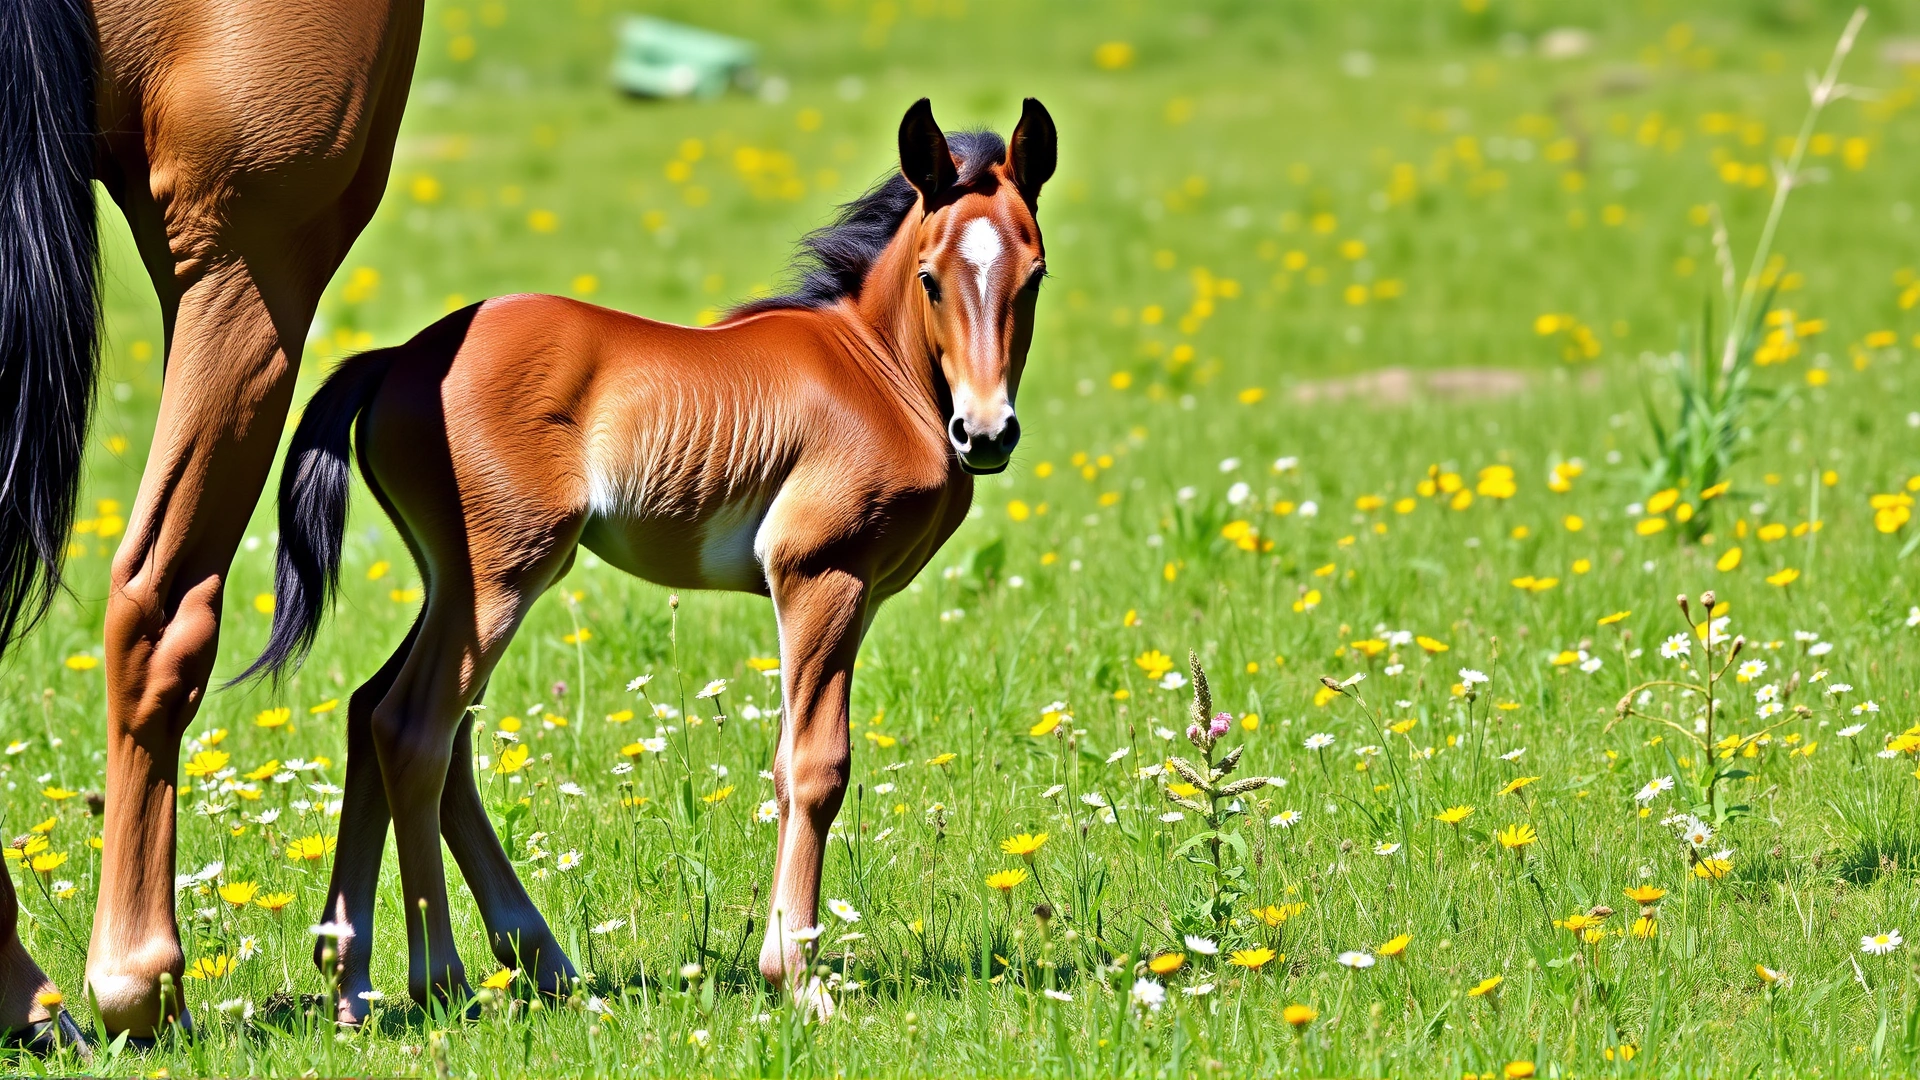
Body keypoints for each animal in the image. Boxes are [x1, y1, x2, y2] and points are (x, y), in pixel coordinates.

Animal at [243, 97, 1055, 1020]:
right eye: (929, 277)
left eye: (1033, 276)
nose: (986, 433)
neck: (877, 372)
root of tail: (396, 360)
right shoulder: (819, 576)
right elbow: (816, 766)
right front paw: (798, 977)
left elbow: (793, 763)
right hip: (500, 578)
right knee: (412, 728)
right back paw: (443, 978)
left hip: (460, 582)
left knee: (389, 717)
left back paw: (380, 975)